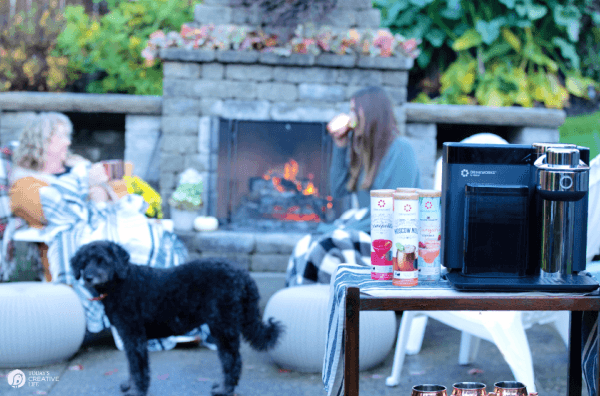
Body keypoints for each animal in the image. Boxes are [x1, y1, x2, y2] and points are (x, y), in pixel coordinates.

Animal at [71, 240, 284, 396]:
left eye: (103, 260)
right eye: (84, 262)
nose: (88, 277)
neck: (121, 284)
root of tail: (242, 274)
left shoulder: (135, 336)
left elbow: (139, 368)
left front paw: (137, 390)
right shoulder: (128, 338)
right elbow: (132, 365)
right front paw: (129, 386)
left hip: (223, 327)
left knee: (232, 360)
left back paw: (225, 389)